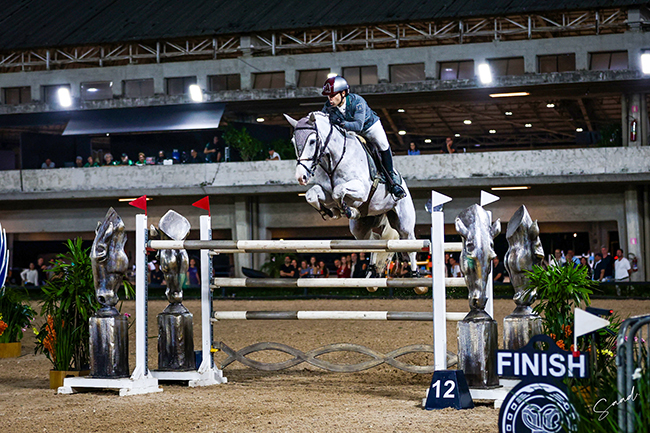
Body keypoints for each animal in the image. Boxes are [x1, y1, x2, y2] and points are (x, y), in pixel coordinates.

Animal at [284, 109, 420, 282]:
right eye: (293, 142)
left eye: (312, 141)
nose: (301, 177)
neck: (333, 159)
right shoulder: (325, 192)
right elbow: (311, 194)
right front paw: (330, 212)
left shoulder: (362, 190)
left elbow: (338, 191)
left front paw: (346, 210)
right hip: (361, 228)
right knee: (372, 242)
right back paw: (371, 273)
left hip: (404, 223)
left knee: (411, 245)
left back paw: (415, 276)